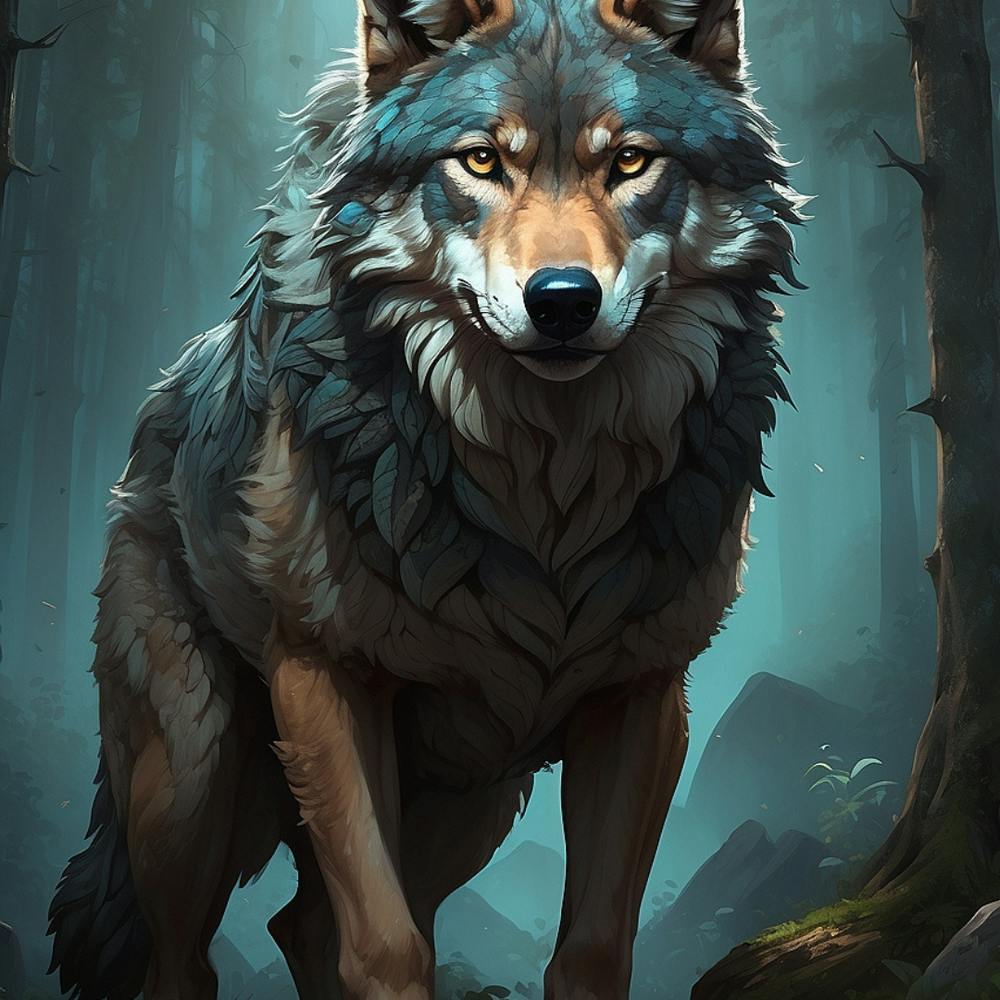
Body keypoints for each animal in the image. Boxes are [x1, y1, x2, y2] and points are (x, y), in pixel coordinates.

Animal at [49, 1, 801, 997]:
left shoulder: (641, 697)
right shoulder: (323, 674)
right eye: (481, 161)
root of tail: (158, 401)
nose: (563, 301)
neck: (543, 491)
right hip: (193, 780)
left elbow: (594, 948)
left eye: (630, 161)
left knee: (300, 923)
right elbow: (386, 944)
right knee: (189, 962)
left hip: (473, 797)